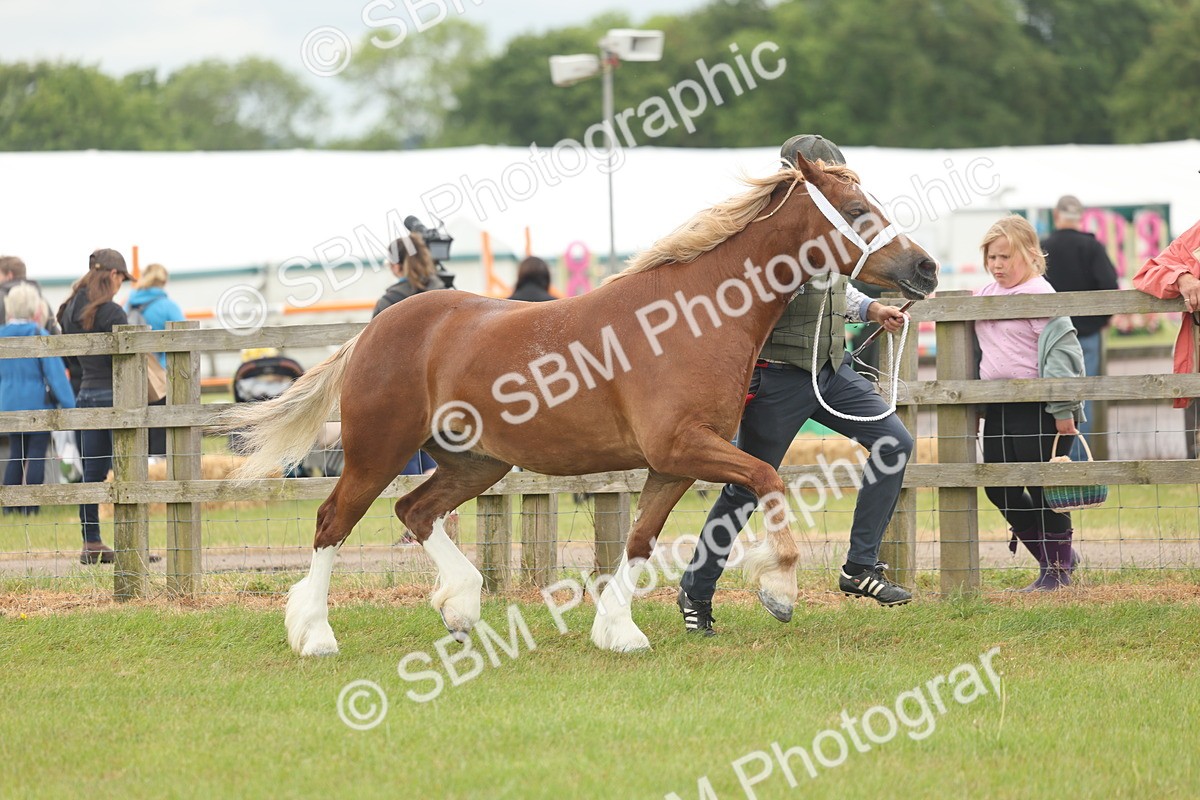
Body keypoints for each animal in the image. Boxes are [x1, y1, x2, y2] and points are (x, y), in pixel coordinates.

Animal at [215, 153, 938, 656]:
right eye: (859, 208)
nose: (926, 269)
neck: (693, 317)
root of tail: (374, 330)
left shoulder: (673, 463)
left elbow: (641, 539)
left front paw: (619, 630)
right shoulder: (685, 447)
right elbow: (769, 479)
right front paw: (780, 589)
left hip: (477, 461)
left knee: (414, 511)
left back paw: (460, 606)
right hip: (379, 450)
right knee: (333, 523)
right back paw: (316, 635)